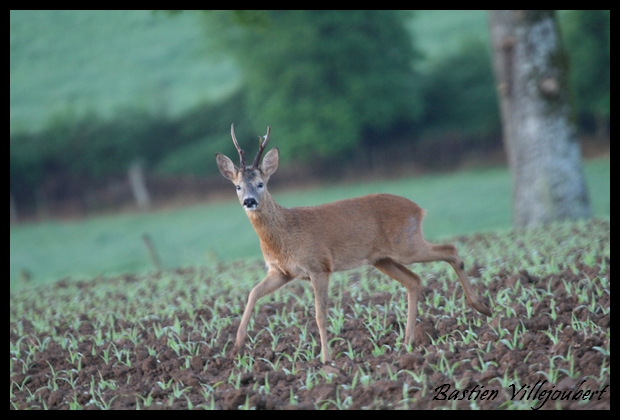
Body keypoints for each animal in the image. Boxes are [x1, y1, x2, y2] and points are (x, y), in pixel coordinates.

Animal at [216, 123, 492, 362]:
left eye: (261, 183)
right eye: (238, 186)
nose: (249, 201)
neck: (284, 234)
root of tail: (418, 209)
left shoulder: (319, 266)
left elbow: (320, 315)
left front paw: (326, 359)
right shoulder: (281, 272)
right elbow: (253, 293)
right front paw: (237, 345)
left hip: (406, 244)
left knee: (450, 249)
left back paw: (481, 307)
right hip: (382, 258)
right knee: (414, 280)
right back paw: (407, 342)